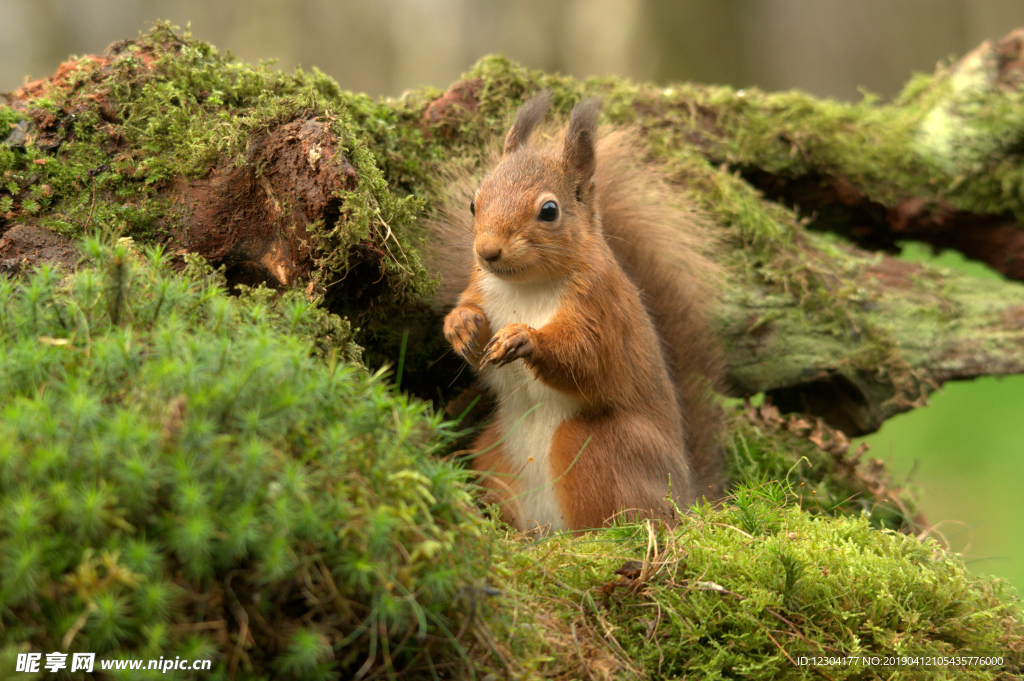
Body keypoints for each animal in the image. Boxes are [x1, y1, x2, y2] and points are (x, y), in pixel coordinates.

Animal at [428, 91, 724, 532]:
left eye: (549, 211)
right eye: (473, 203)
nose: (487, 251)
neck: (526, 287)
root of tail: (684, 494)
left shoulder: (600, 306)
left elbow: (586, 358)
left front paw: (524, 337)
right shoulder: (480, 287)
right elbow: (471, 323)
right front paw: (461, 325)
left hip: (594, 448)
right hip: (494, 454)